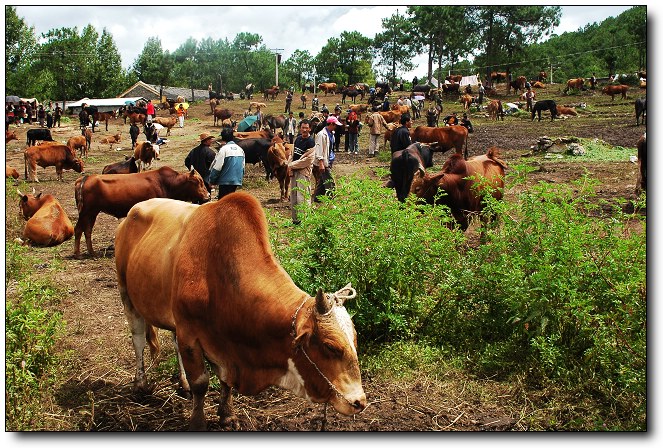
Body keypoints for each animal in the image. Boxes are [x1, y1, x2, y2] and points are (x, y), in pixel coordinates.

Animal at [72, 164, 209, 258]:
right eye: (199, 181)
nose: (208, 196)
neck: (168, 183)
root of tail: (84, 179)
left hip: (91, 213)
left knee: (87, 230)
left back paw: (91, 252)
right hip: (86, 212)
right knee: (78, 229)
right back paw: (78, 254)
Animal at [113, 193, 364, 430]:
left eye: (355, 338)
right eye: (330, 346)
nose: (359, 402)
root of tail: (133, 211)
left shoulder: (220, 344)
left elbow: (225, 381)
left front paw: (227, 415)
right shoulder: (190, 334)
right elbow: (201, 383)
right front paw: (198, 423)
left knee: (173, 343)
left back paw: (181, 384)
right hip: (127, 294)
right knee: (138, 340)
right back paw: (141, 384)